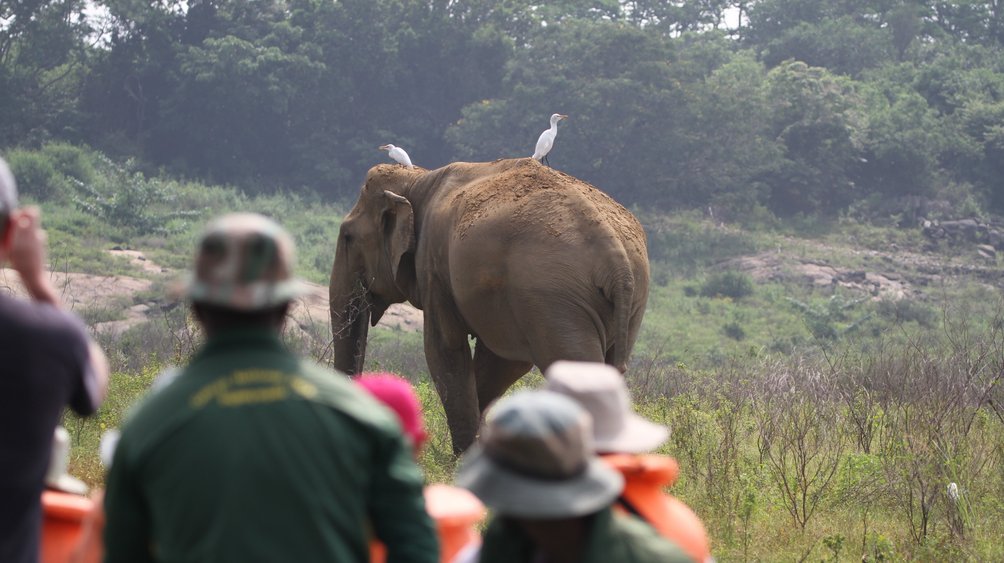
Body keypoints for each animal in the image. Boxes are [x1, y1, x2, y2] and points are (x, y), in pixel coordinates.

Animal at [331, 156, 650, 451]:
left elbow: (444, 349)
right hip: (628, 303)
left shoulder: (434, 267)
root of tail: (617, 262)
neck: (419, 180)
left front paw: (462, 459)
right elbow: (502, 364)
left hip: (556, 295)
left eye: (347, 237)